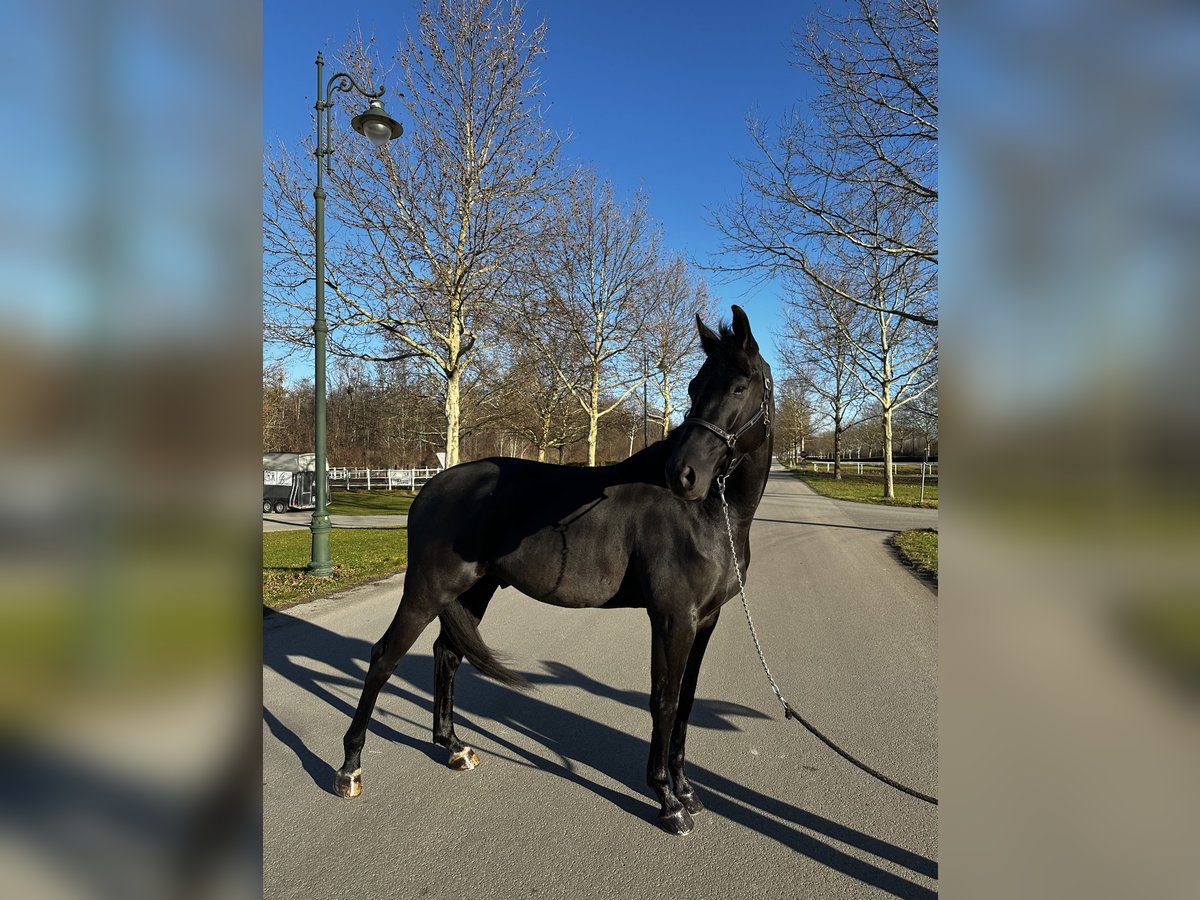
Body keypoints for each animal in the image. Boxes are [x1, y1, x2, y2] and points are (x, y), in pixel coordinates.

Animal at [333, 307, 772, 835]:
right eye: (693, 386)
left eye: (739, 386)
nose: (682, 474)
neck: (708, 515)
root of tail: (430, 488)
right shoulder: (672, 619)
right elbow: (663, 701)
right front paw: (668, 800)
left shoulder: (704, 620)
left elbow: (685, 702)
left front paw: (687, 790)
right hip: (427, 590)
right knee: (383, 657)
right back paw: (350, 769)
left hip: (473, 590)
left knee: (447, 655)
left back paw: (454, 747)